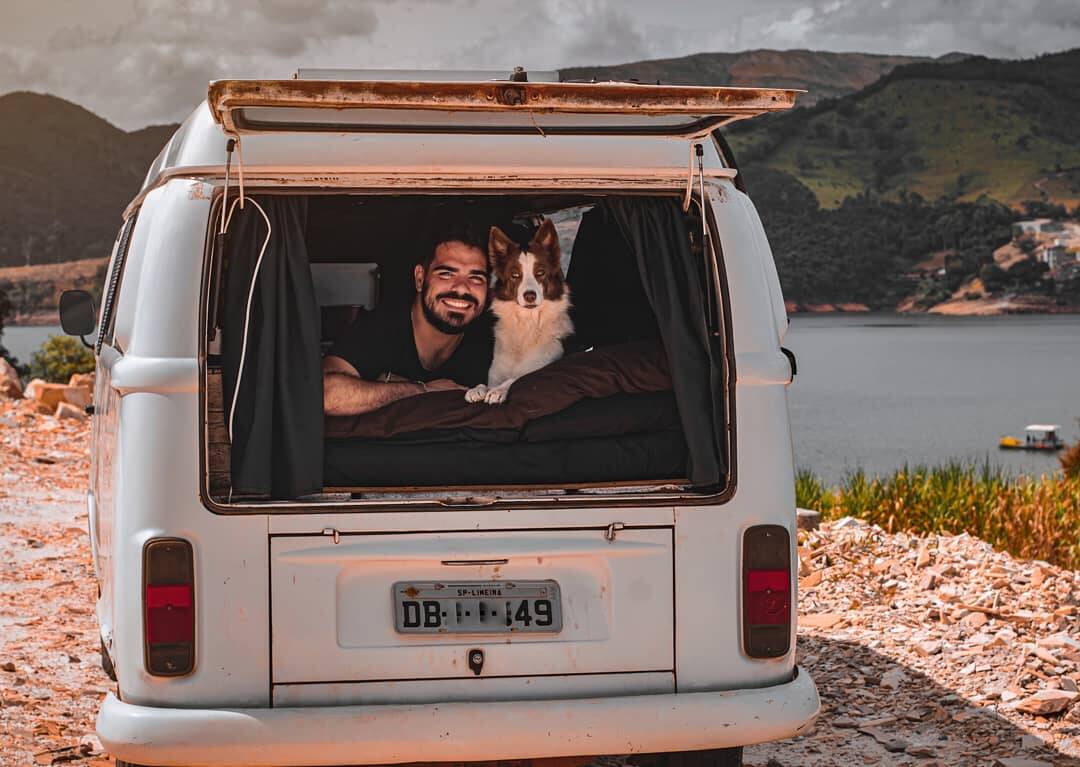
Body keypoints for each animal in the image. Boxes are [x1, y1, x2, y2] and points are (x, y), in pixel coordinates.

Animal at [468, 219, 578, 406]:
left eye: (540, 273)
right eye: (515, 275)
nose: (530, 296)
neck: (527, 324)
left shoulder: (543, 365)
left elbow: (517, 378)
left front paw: (498, 391)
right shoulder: (496, 373)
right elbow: (487, 384)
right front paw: (477, 389)